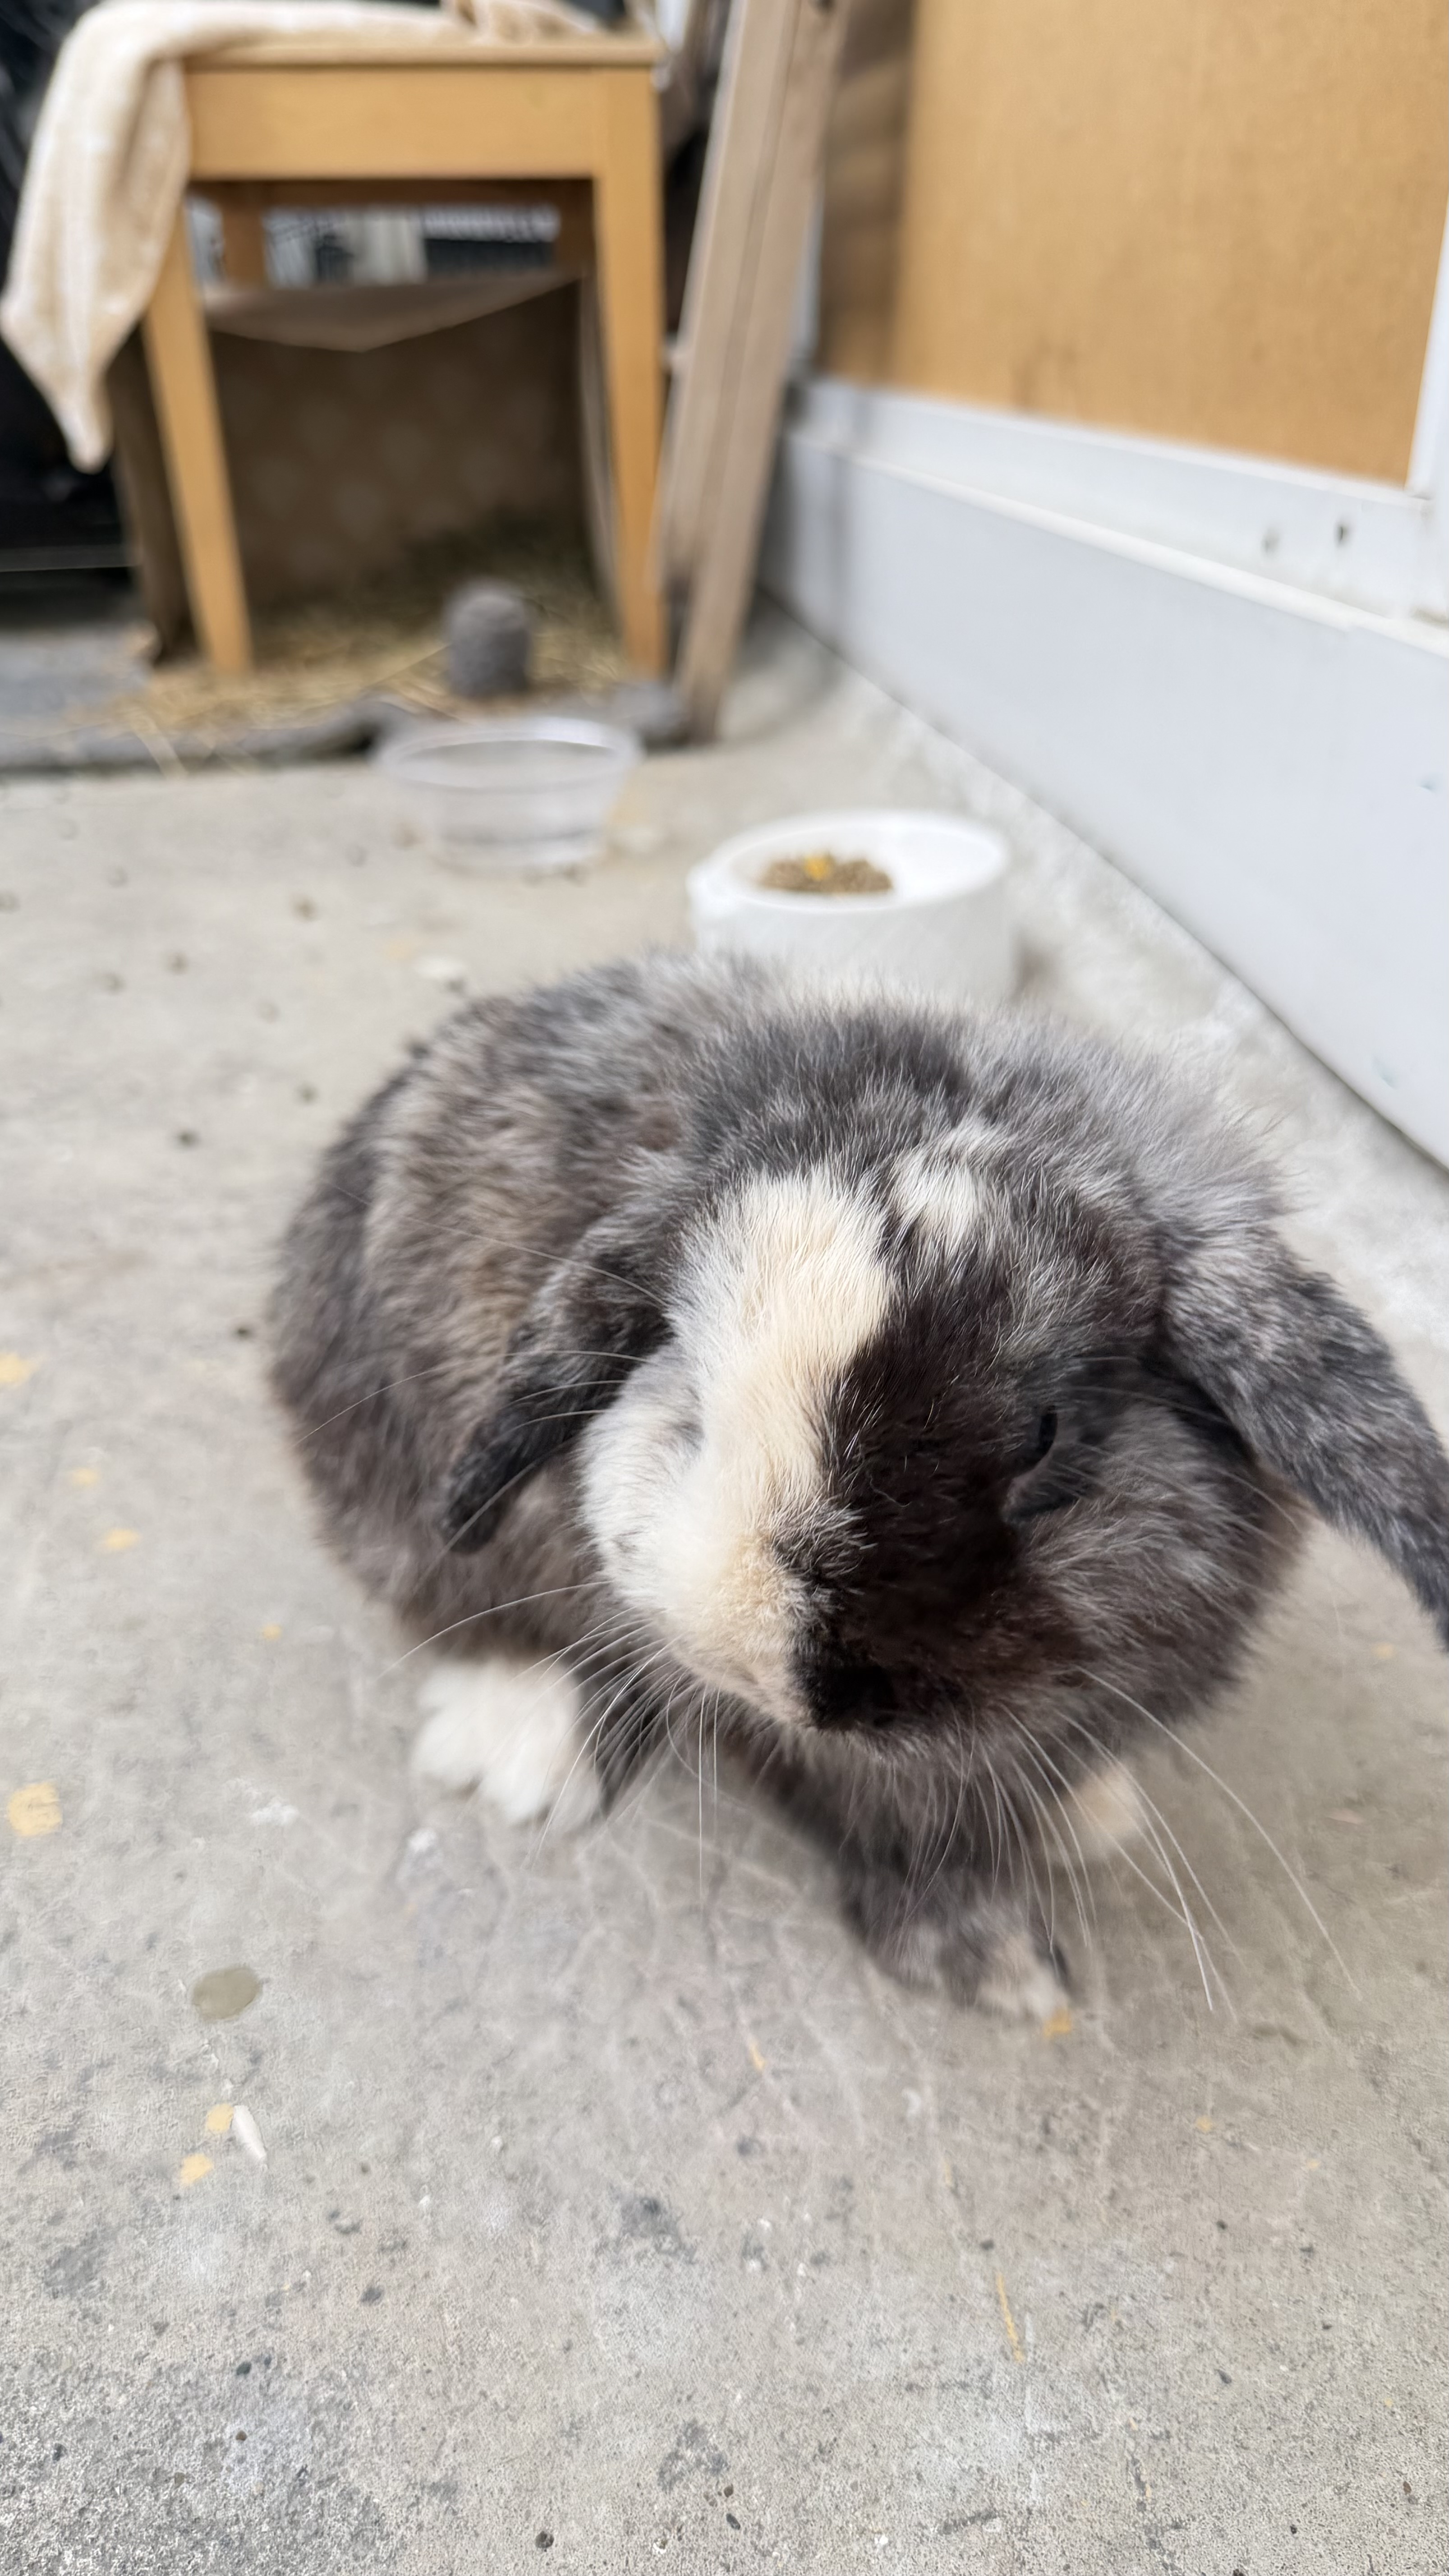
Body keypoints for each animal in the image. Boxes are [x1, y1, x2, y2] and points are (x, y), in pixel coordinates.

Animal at [270, 951, 1449, 2017]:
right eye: (685, 1374)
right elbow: (896, 1833)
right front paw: (996, 1968)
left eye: (1043, 1437)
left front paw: (1078, 1820)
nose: (749, 1658)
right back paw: (522, 1747)